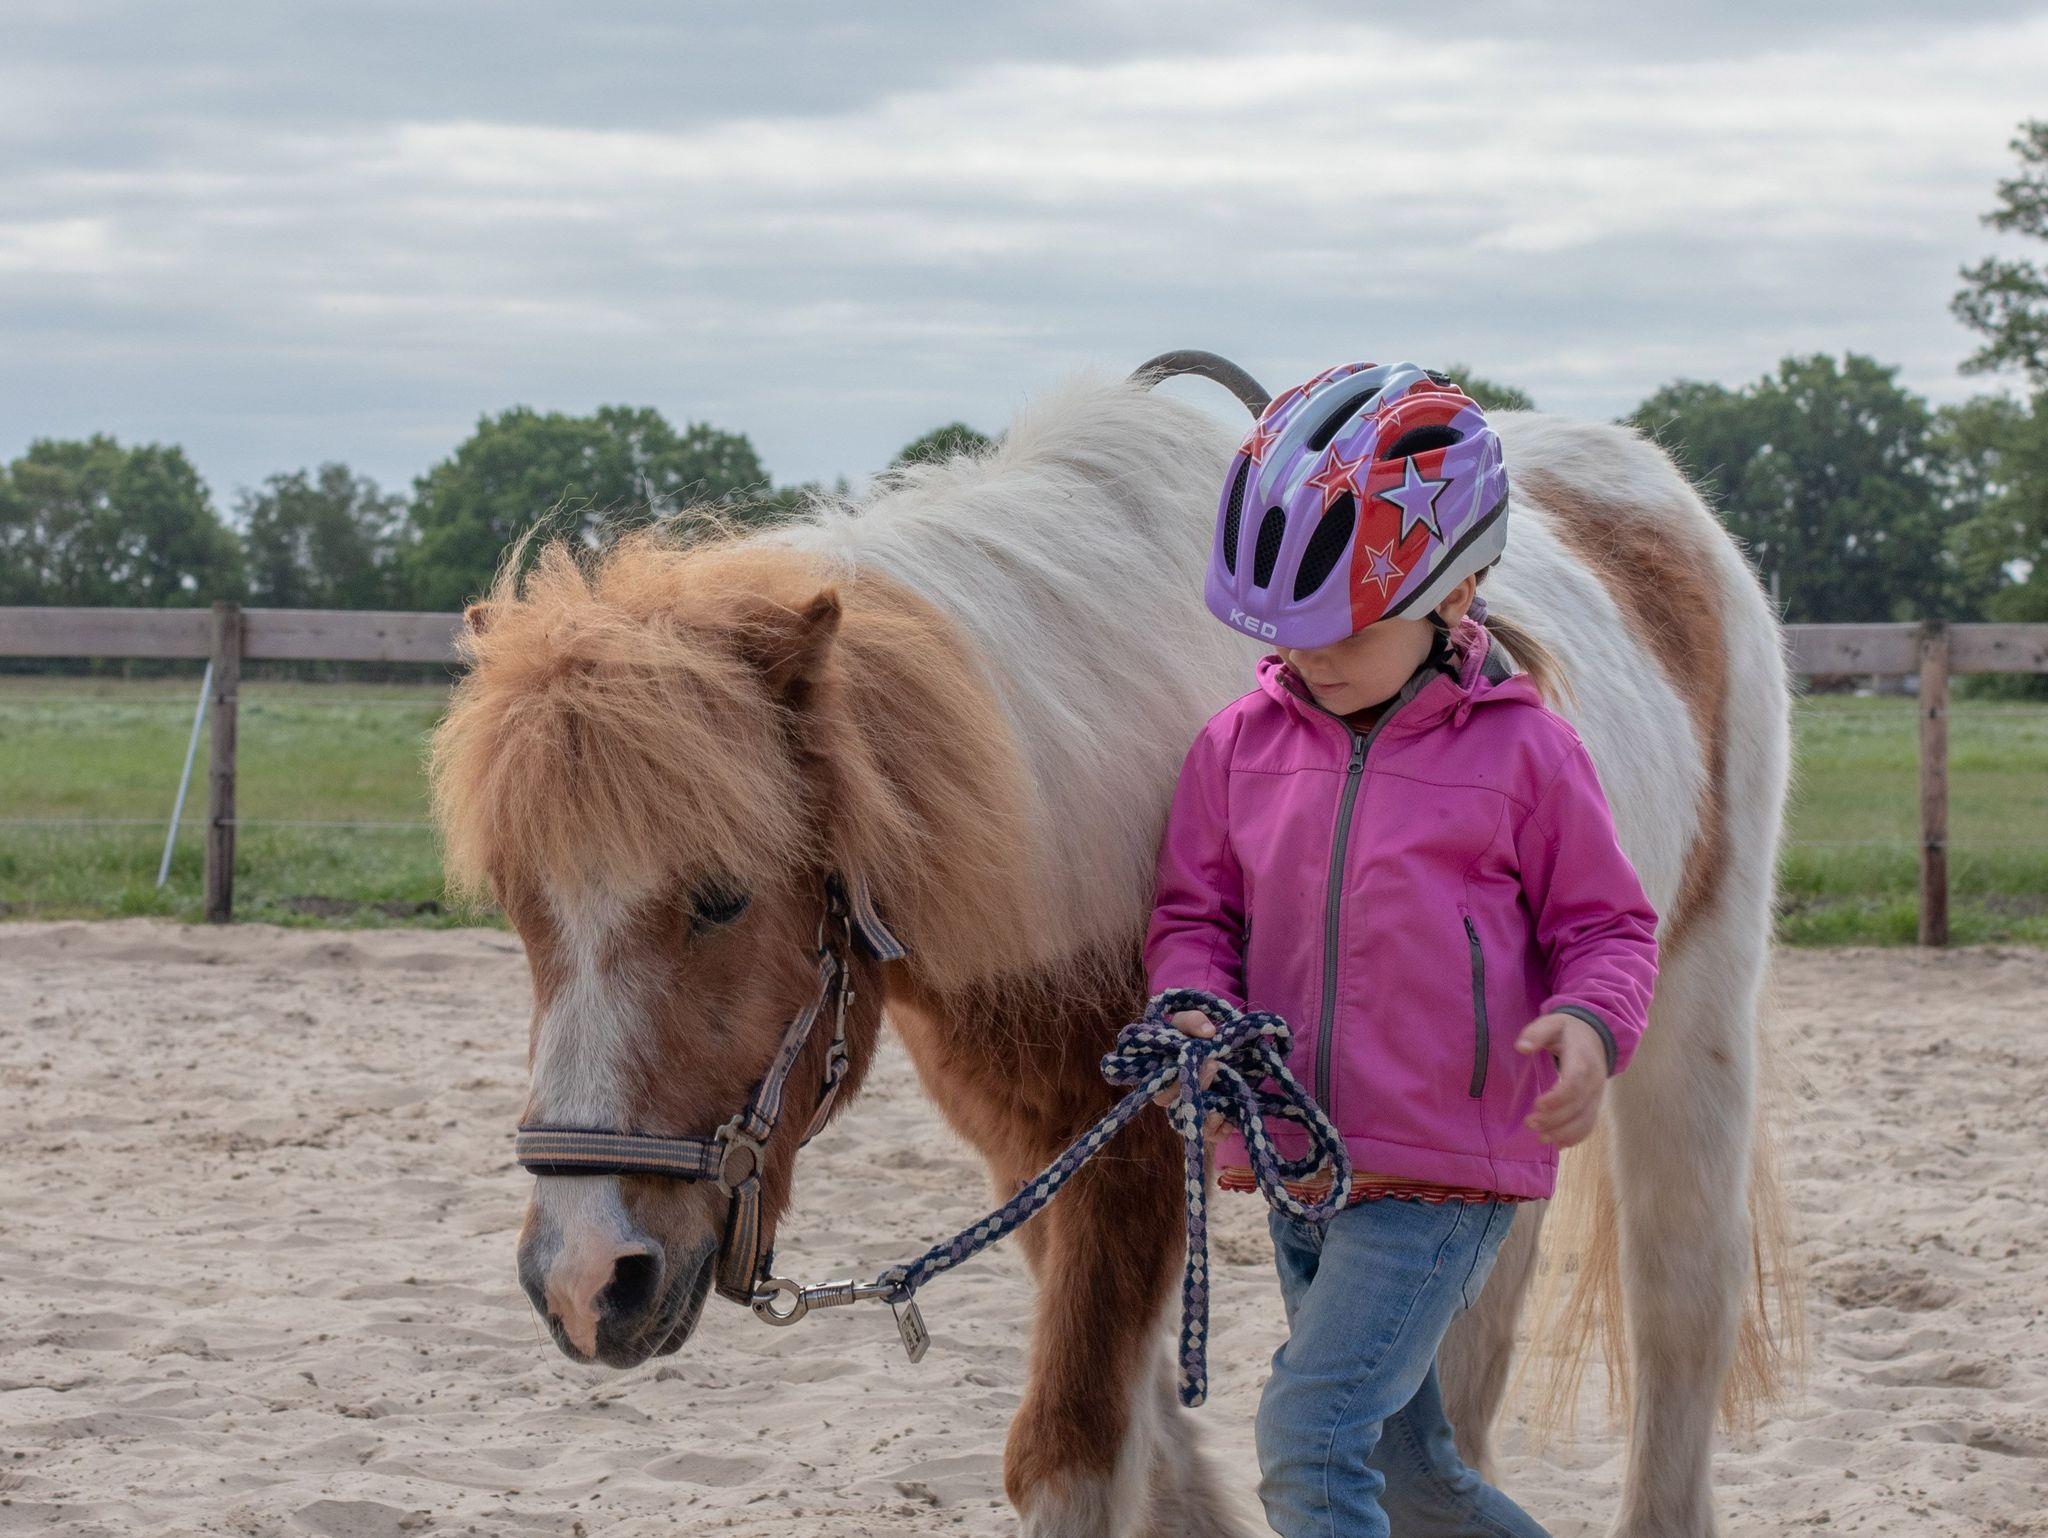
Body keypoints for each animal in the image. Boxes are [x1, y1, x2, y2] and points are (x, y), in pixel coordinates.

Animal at [430, 359, 1795, 1537]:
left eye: (719, 896)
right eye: (524, 910)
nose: (584, 1276)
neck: (1059, 800)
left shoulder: (1131, 1152)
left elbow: (1070, 1450)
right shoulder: (1035, 1150)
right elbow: (1145, 1432)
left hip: (1691, 1017)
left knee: (1679, 1299)